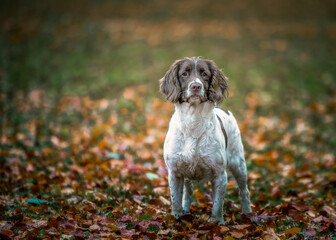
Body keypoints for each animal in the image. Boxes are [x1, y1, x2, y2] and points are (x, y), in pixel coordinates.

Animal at [160, 56, 252, 225]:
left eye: (205, 74)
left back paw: (248, 214)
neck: (193, 122)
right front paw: (177, 218)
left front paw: (218, 224)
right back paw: (186, 211)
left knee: (244, 191)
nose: (196, 86)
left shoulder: (220, 174)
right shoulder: (175, 171)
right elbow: (176, 200)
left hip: (238, 163)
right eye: (184, 73)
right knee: (188, 193)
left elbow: (217, 205)